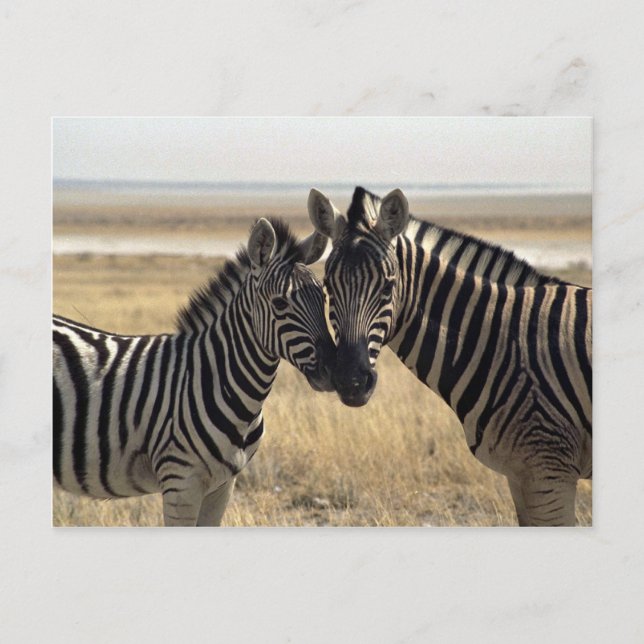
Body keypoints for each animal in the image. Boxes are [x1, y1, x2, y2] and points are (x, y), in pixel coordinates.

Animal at [308, 186, 592, 526]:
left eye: (388, 287)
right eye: (327, 288)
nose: (350, 382)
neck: (502, 342)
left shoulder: (548, 471)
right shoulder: (521, 474)